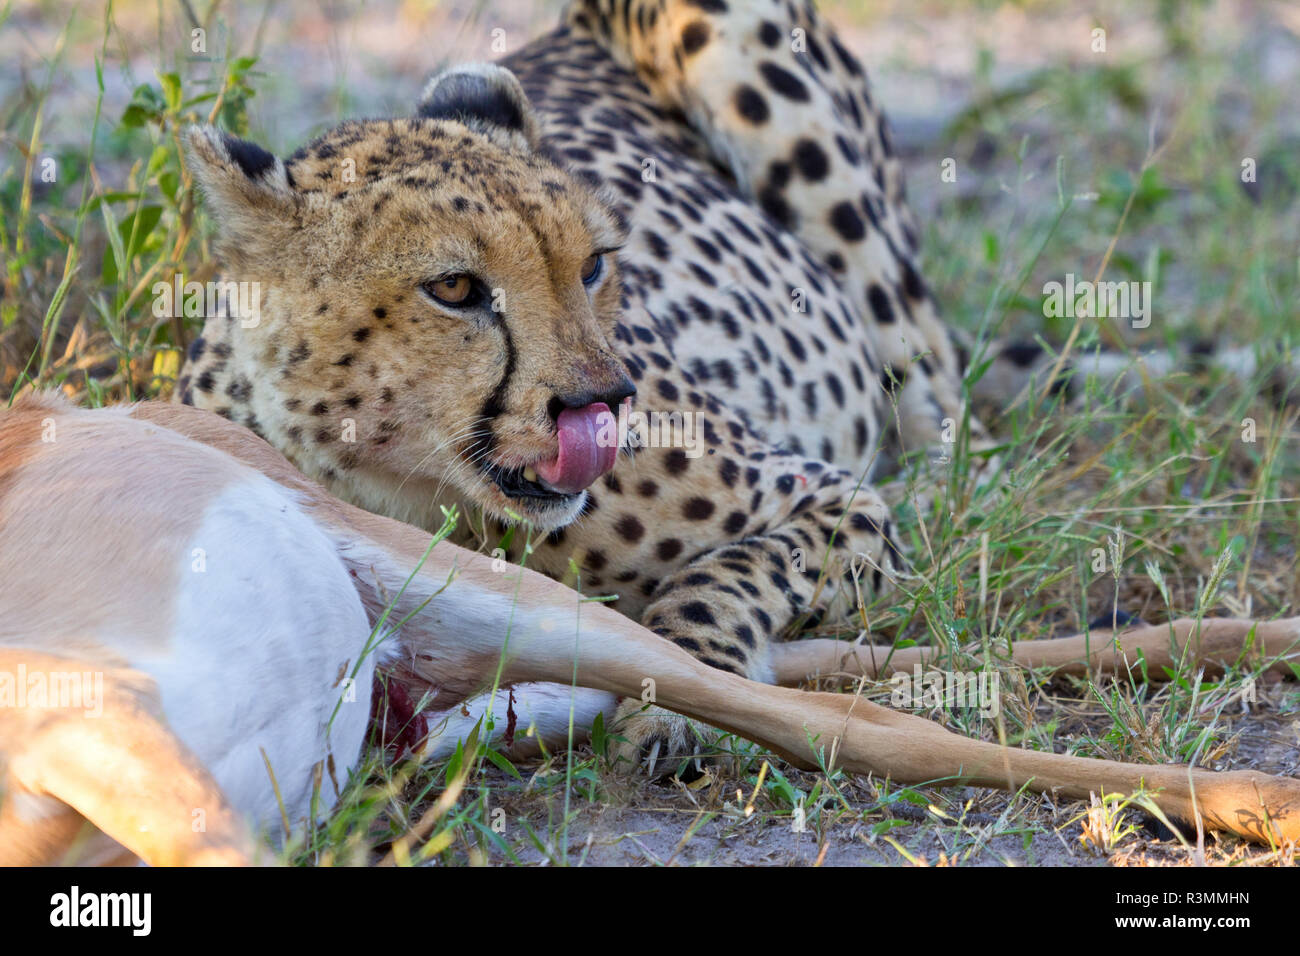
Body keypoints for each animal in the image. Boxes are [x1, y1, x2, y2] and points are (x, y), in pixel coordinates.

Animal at [180, 0, 1300, 780]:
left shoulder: (834, 499)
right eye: (454, 289)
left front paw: (675, 700)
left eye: (594, 265)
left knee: (947, 421)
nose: (605, 400)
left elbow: (724, 577)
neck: (410, 485)